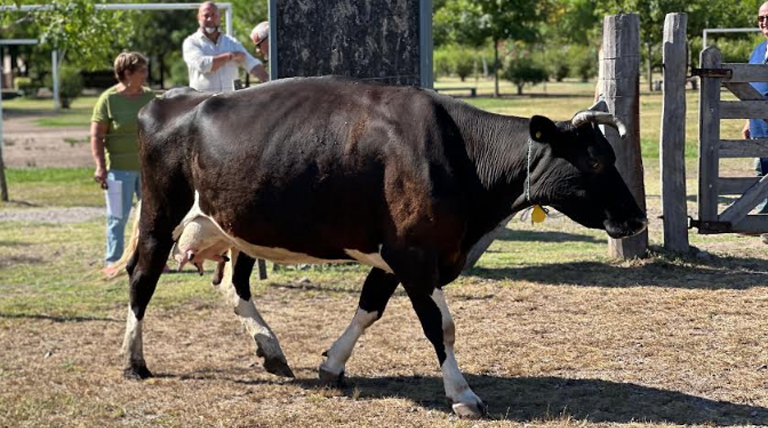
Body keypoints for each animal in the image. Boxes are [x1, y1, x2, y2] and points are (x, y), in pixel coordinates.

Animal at [121, 77, 648, 418]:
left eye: (609, 154)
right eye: (595, 161)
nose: (638, 218)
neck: (464, 156)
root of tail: (172, 98)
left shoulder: (398, 254)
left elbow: (369, 307)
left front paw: (331, 365)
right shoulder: (414, 253)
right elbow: (441, 325)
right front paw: (462, 394)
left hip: (239, 225)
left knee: (236, 285)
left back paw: (271, 350)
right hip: (159, 214)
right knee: (142, 278)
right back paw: (134, 361)